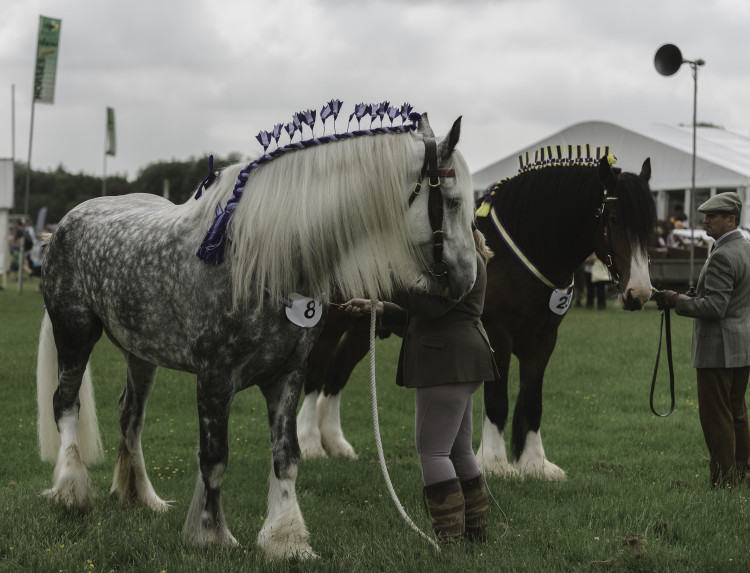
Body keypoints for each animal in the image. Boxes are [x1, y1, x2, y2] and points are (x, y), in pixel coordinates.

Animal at [35, 108, 478, 560]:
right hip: (75, 333)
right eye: (454, 202)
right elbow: (214, 458)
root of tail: (61, 227)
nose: (468, 279)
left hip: (140, 354)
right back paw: (70, 491)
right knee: (65, 404)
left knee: (130, 415)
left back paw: (139, 497)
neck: (261, 258)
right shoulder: (214, 378)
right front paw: (212, 535)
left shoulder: (288, 376)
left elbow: (287, 457)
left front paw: (286, 538)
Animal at [296, 152, 656, 478]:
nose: (639, 292)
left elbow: (533, 399)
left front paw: (535, 463)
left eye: (650, 223)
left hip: (362, 323)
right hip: (332, 320)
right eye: (613, 219)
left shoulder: (544, 340)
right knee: (316, 372)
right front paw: (495, 463)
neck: (517, 254)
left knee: (336, 375)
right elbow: (498, 398)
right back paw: (311, 443)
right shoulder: (497, 335)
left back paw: (336, 444)